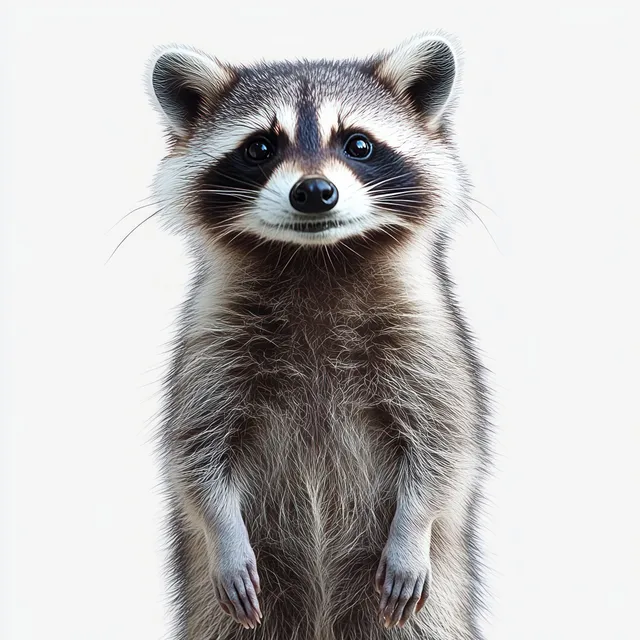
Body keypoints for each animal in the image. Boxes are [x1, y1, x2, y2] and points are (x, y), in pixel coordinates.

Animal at [145, 31, 491, 640]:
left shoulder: (427, 335)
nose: (314, 191)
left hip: (434, 603)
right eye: (260, 147)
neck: (318, 258)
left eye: (358, 144)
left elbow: (445, 442)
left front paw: (414, 529)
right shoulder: (212, 336)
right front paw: (223, 533)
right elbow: (194, 451)